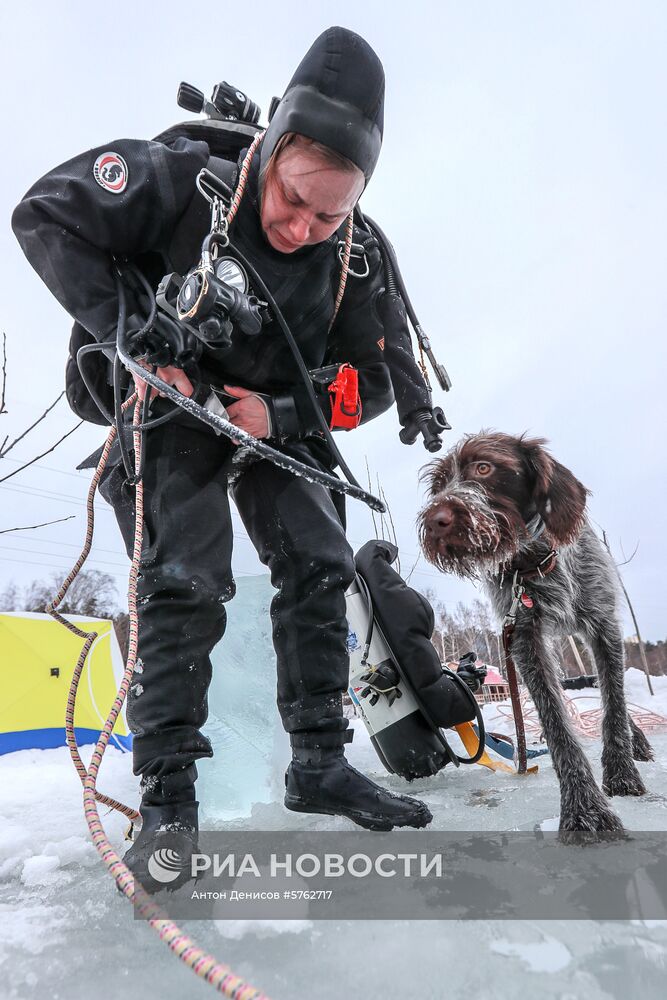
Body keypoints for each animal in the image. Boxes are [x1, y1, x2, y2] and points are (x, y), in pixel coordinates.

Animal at [420, 434, 656, 832]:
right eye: (438, 486)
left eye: (483, 467)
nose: (436, 521)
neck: (535, 563)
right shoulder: (525, 639)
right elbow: (555, 718)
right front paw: (584, 809)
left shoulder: (604, 626)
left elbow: (614, 704)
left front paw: (621, 774)